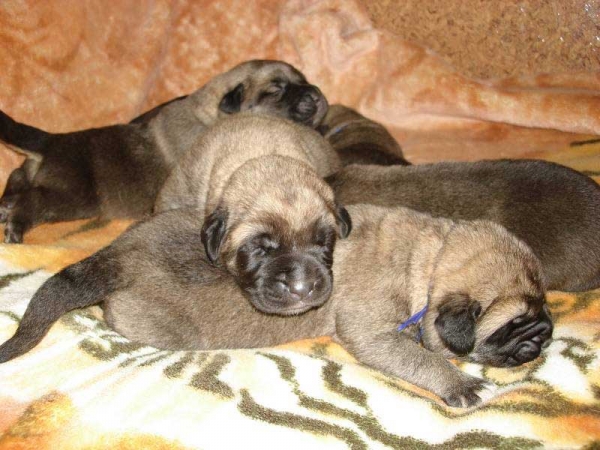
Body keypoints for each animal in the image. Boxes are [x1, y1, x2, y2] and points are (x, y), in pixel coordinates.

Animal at [0, 60, 328, 244]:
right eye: (276, 90)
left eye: (303, 80)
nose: (316, 95)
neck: (210, 114)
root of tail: (50, 141)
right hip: (74, 196)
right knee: (35, 199)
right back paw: (16, 224)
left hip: (38, 175)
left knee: (16, 176)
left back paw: (6, 205)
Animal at [0, 204, 552, 408]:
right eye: (514, 324)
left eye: (543, 305)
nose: (545, 334)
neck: (430, 259)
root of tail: (116, 255)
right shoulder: (374, 332)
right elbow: (418, 357)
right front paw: (457, 383)